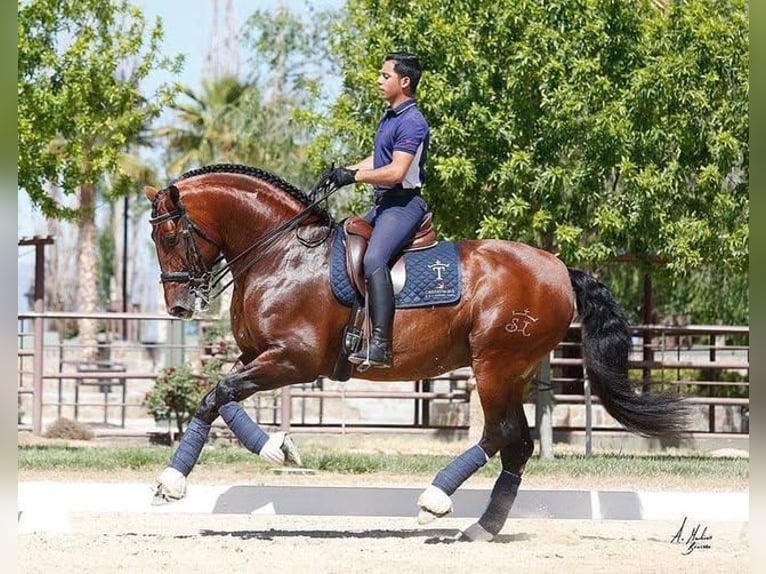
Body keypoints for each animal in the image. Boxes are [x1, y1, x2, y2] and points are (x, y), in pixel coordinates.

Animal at [145, 163, 687, 541]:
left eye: (169, 235)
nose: (178, 305)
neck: (283, 254)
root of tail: (559, 269)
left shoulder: (293, 359)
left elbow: (218, 394)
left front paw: (174, 481)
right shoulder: (258, 354)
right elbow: (216, 396)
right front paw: (274, 449)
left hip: (495, 365)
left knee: (500, 434)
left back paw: (436, 500)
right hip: (513, 372)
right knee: (518, 444)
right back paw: (481, 528)